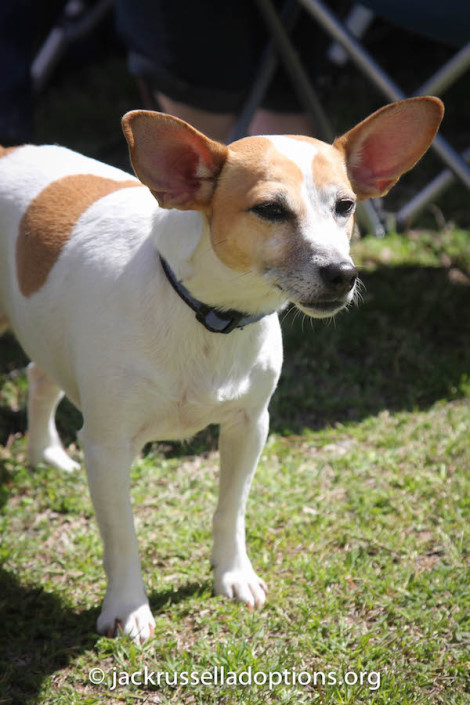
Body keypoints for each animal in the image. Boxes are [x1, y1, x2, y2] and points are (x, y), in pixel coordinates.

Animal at [0, 96, 442, 640]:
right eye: (270, 210)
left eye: (345, 206)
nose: (343, 273)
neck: (209, 316)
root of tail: (10, 150)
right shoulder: (108, 447)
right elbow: (122, 535)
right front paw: (128, 607)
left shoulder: (250, 427)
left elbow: (230, 510)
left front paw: (232, 575)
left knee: (41, 375)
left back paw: (45, 454)